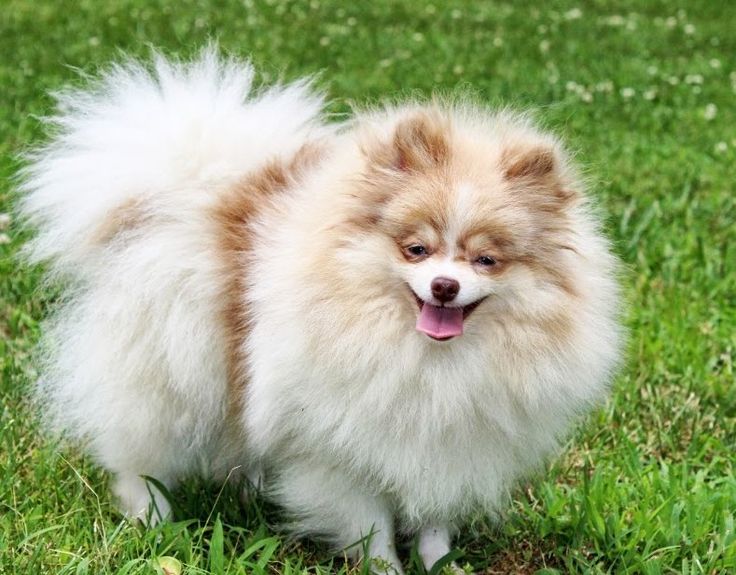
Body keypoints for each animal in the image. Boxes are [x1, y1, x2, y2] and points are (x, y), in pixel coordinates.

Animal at [20, 50, 620, 575]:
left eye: (486, 260)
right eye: (416, 249)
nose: (445, 286)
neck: (425, 360)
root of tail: (198, 189)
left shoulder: (447, 448)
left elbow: (433, 523)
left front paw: (441, 564)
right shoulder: (337, 454)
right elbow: (372, 527)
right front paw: (385, 568)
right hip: (168, 370)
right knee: (139, 455)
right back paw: (152, 522)